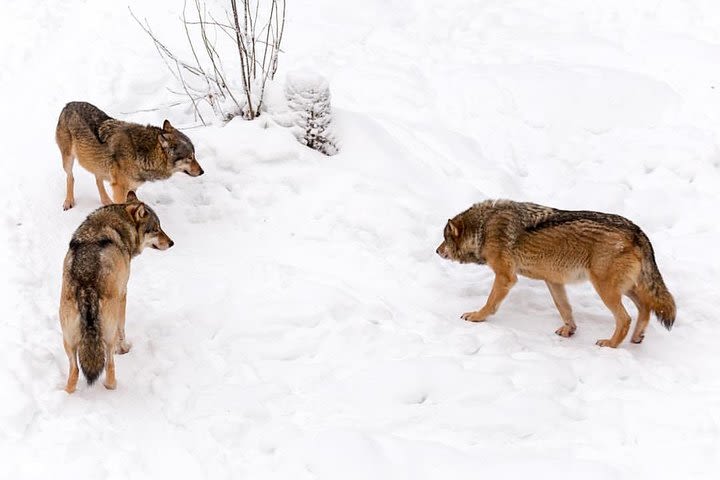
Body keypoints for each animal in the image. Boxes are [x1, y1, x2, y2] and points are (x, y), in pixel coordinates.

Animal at [54, 101, 202, 210]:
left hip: (98, 163)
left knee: (97, 179)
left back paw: (106, 201)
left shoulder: (132, 188)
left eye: (194, 155)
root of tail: (67, 105)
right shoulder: (120, 188)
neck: (140, 153)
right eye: (190, 157)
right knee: (70, 177)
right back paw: (69, 201)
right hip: (68, 160)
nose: (202, 172)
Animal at [59, 189, 174, 392]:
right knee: (109, 365)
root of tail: (87, 289)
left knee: (74, 372)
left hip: (68, 340)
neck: (118, 224)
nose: (172, 242)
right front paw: (125, 348)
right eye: (156, 229)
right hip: (106, 337)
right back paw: (113, 386)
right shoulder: (123, 294)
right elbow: (123, 328)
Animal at [436, 200, 676, 348]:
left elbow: (490, 303)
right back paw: (637, 337)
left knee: (625, 318)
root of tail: (637, 231)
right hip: (623, 288)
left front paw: (476, 316)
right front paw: (570, 330)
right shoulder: (553, 281)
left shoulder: (506, 277)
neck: (484, 228)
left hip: (605, 289)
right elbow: (565, 309)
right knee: (645, 307)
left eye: (444, 239)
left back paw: (610, 344)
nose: (436, 251)